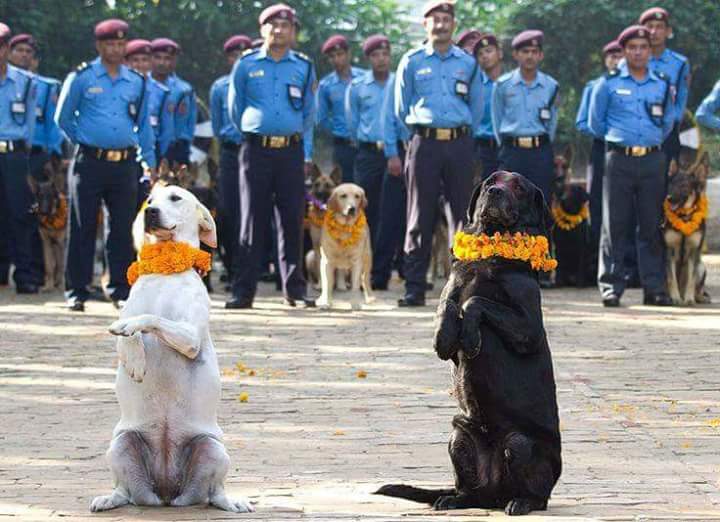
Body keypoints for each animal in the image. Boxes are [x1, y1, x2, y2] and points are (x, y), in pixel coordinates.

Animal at [27, 154, 67, 292]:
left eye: (50, 196)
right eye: (39, 196)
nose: (43, 212)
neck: (52, 218)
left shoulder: (61, 243)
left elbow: (61, 266)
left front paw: (62, 286)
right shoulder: (46, 242)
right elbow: (49, 266)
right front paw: (49, 285)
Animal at [90, 184, 253, 512]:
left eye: (176, 198)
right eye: (149, 201)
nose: (150, 212)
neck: (165, 272)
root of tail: (166, 493)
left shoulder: (189, 336)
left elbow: (151, 319)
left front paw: (135, 335)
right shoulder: (124, 325)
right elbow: (126, 334)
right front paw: (135, 360)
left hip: (213, 448)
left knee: (214, 492)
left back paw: (230, 502)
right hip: (121, 444)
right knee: (124, 491)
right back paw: (108, 499)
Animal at [376, 172, 564, 516]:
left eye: (518, 186)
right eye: (491, 181)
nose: (494, 191)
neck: (490, 248)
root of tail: (495, 494)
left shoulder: (529, 327)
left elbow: (476, 302)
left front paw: (471, 336)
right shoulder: (454, 286)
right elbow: (449, 303)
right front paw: (446, 336)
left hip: (519, 443)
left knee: (537, 495)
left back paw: (521, 502)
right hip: (459, 436)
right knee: (469, 491)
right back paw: (453, 499)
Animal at [668, 150, 712, 304]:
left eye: (684, 186)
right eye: (671, 184)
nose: (669, 198)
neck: (684, 218)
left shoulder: (694, 251)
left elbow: (691, 281)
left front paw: (689, 298)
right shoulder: (669, 250)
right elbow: (671, 278)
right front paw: (674, 297)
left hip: (701, 267)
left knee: (699, 287)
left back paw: (698, 297)